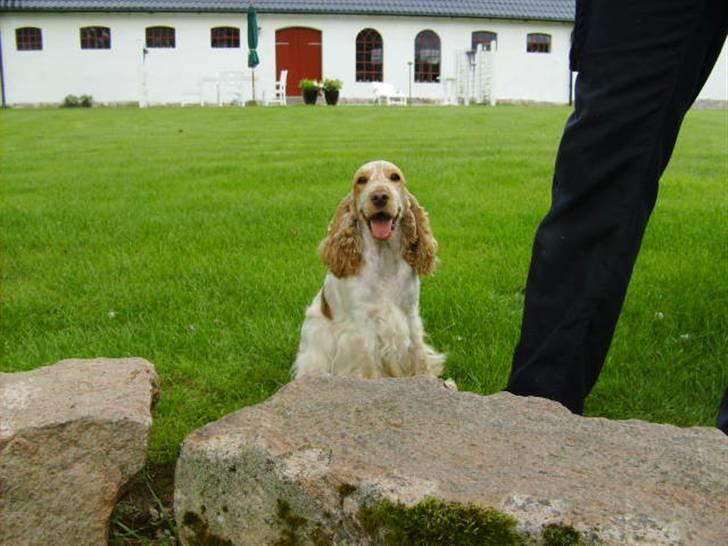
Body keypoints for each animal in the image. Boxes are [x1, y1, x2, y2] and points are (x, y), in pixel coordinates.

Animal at [292, 159, 446, 376]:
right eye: (361, 180)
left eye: (395, 177)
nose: (380, 196)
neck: (384, 257)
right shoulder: (362, 326)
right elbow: (369, 365)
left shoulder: (410, 314)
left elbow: (418, 355)